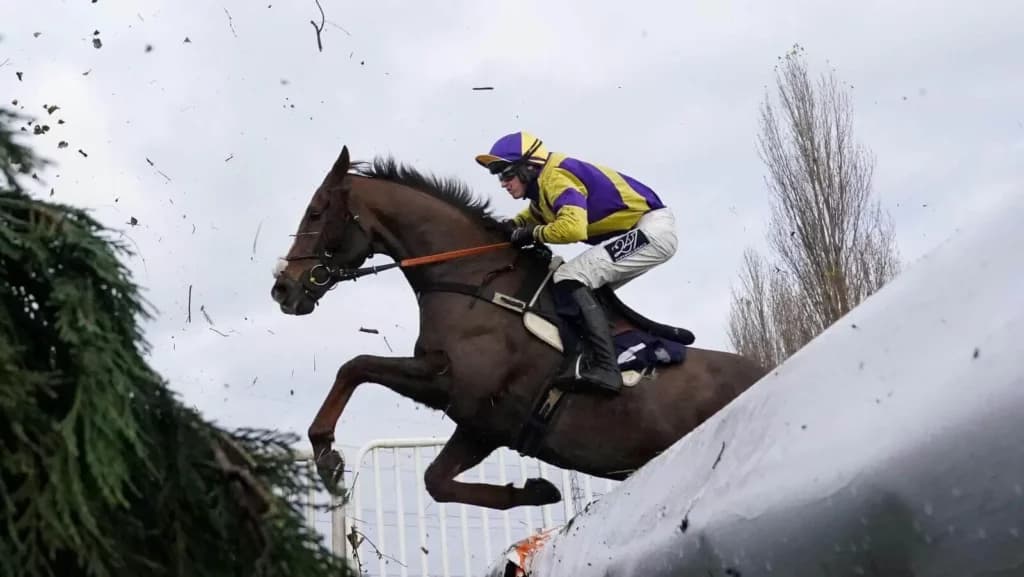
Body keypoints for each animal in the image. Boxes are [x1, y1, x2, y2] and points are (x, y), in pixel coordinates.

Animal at [270, 145, 768, 510]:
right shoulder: (482, 422)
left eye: (316, 213)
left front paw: (326, 455)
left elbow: (356, 365)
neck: (475, 280)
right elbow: (435, 480)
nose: (282, 287)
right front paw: (537, 491)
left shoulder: (457, 386)